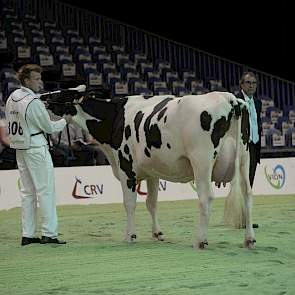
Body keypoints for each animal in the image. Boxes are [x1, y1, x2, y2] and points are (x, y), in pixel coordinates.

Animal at [41, 87, 256, 250]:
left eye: (59, 95)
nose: (40, 97)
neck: (115, 117)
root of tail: (230, 99)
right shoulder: (153, 172)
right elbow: (151, 203)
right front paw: (157, 233)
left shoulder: (126, 168)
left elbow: (130, 204)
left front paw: (130, 236)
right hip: (245, 158)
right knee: (247, 194)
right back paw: (249, 239)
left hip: (201, 160)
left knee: (206, 197)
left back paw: (200, 241)